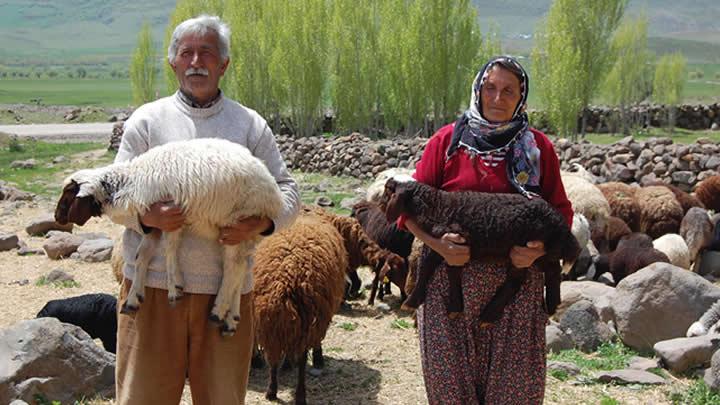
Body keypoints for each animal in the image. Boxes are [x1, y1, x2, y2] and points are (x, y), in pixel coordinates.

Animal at [54, 137, 284, 332]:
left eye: (68, 194)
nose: (57, 217)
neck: (130, 182)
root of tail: (273, 193)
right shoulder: (153, 222)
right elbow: (142, 255)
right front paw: (134, 297)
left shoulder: (173, 214)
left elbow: (170, 250)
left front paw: (175, 287)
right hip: (239, 232)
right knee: (240, 268)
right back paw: (232, 317)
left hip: (236, 221)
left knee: (232, 268)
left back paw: (218, 311)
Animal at [252, 213, 348, 402]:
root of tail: (288, 278)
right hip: (304, 316)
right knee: (299, 357)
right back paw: (297, 392)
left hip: (276, 319)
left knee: (275, 357)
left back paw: (274, 391)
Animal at [376, 178, 580, 324]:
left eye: (388, 192)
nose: (379, 206)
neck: (436, 206)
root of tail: (561, 224)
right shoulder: (450, 246)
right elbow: (450, 271)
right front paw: (455, 306)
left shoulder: (450, 238)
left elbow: (427, 266)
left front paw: (411, 301)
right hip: (536, 252)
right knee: (547, 272)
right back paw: (551, 305)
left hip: (531, 248)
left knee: (527, 276)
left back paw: (490, 315)